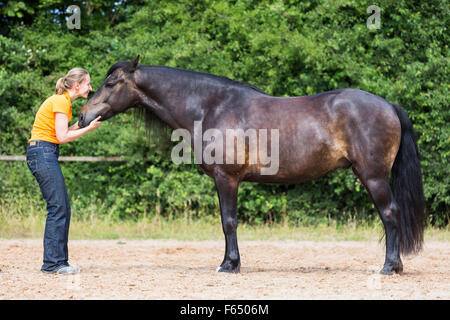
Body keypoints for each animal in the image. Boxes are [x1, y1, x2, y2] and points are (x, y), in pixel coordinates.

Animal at [79, 56, 428, 274]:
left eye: (112, 83)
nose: (82, 116)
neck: (211, 107)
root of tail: (389, 105)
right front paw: (229, 262)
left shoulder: (227, 178)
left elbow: (229, 222)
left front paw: (229, 265)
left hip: (374, 177)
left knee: (390, 215)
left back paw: (389, 267)